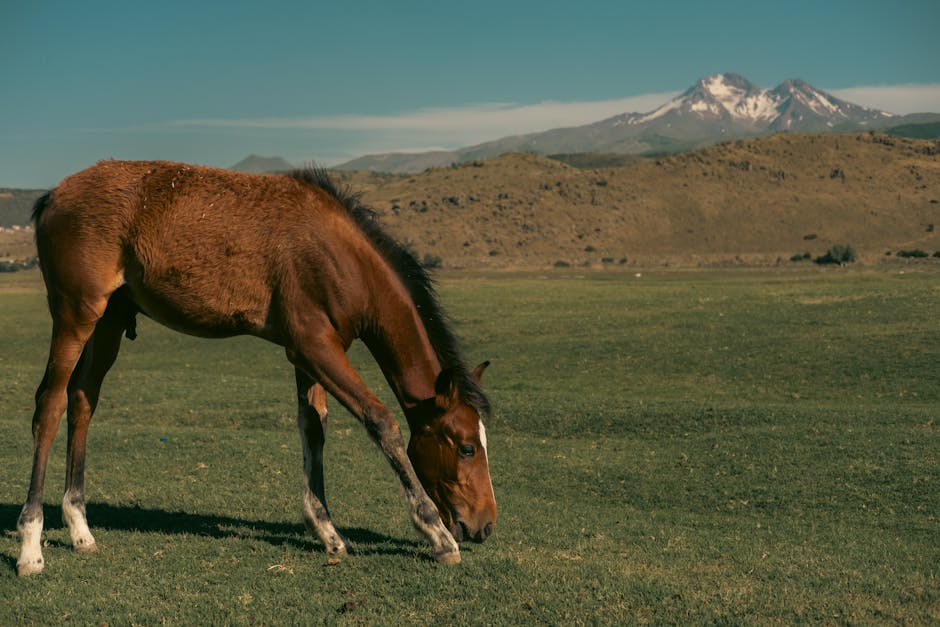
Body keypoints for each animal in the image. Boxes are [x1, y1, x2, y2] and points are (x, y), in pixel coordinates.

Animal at [16, 161, 500, 576]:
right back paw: (31, 545)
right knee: (50, 405)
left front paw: (327, 531)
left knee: (82, 400)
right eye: (466, 448)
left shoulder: (311, 352)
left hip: (110, 320)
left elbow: (314, 428)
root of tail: (53, 195)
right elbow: (381, 422)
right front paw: (435, 534)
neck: (338, 255)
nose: (486, 526)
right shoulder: (316, 348)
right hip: (75, 315)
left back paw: (80, 528)